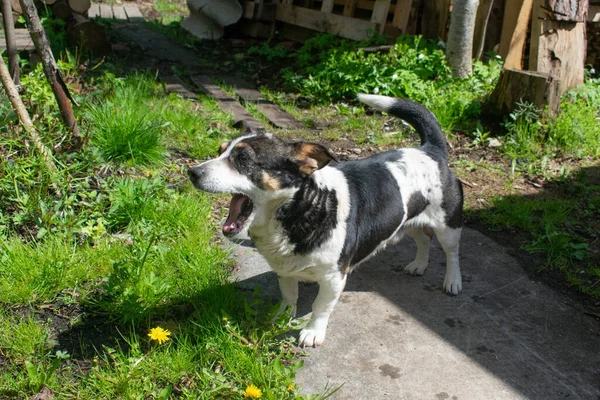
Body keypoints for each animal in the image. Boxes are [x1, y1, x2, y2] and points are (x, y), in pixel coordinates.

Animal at [188, 94, 464, 346]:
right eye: (220, 151)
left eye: (243, 159)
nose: (192, 172)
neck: (300, 210)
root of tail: (430, 150)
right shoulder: (284, 271)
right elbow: (289, 296)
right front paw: (281, 318)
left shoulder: (334, 277)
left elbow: (321, 305)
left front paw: (312, 332)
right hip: (408, 219)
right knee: (423, 238)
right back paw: (419, 265)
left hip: (448, 225)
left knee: (451, 252)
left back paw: (453, 281)